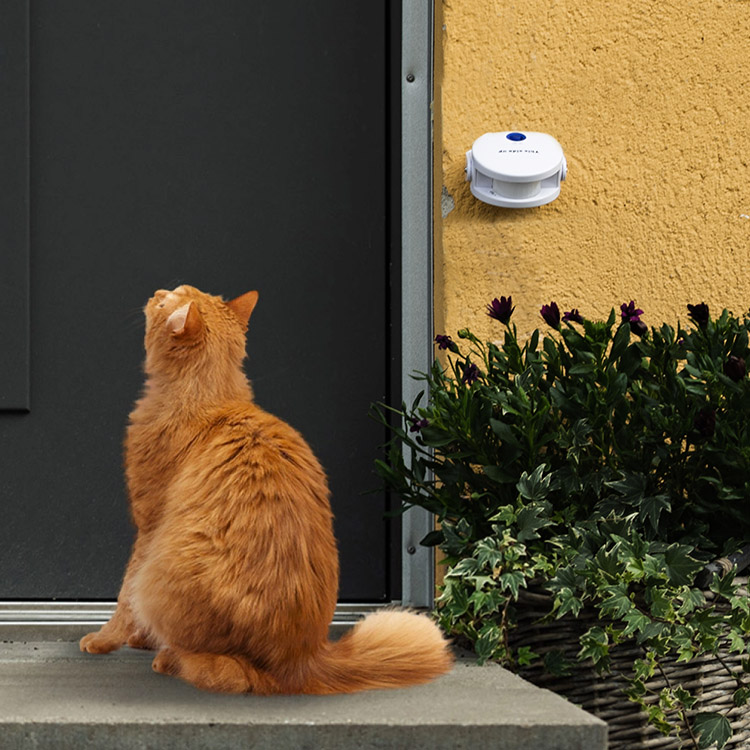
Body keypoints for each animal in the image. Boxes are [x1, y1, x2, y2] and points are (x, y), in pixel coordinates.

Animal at [80, 284, 452, 696]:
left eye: (165, 300)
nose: (157, 290)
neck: (212, 400)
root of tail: (303, 660)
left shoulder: (147, 528)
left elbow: (124, 598)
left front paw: (104, 640)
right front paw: (141, 639)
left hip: (161, 571)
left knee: (224, 669)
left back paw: (170, 659)